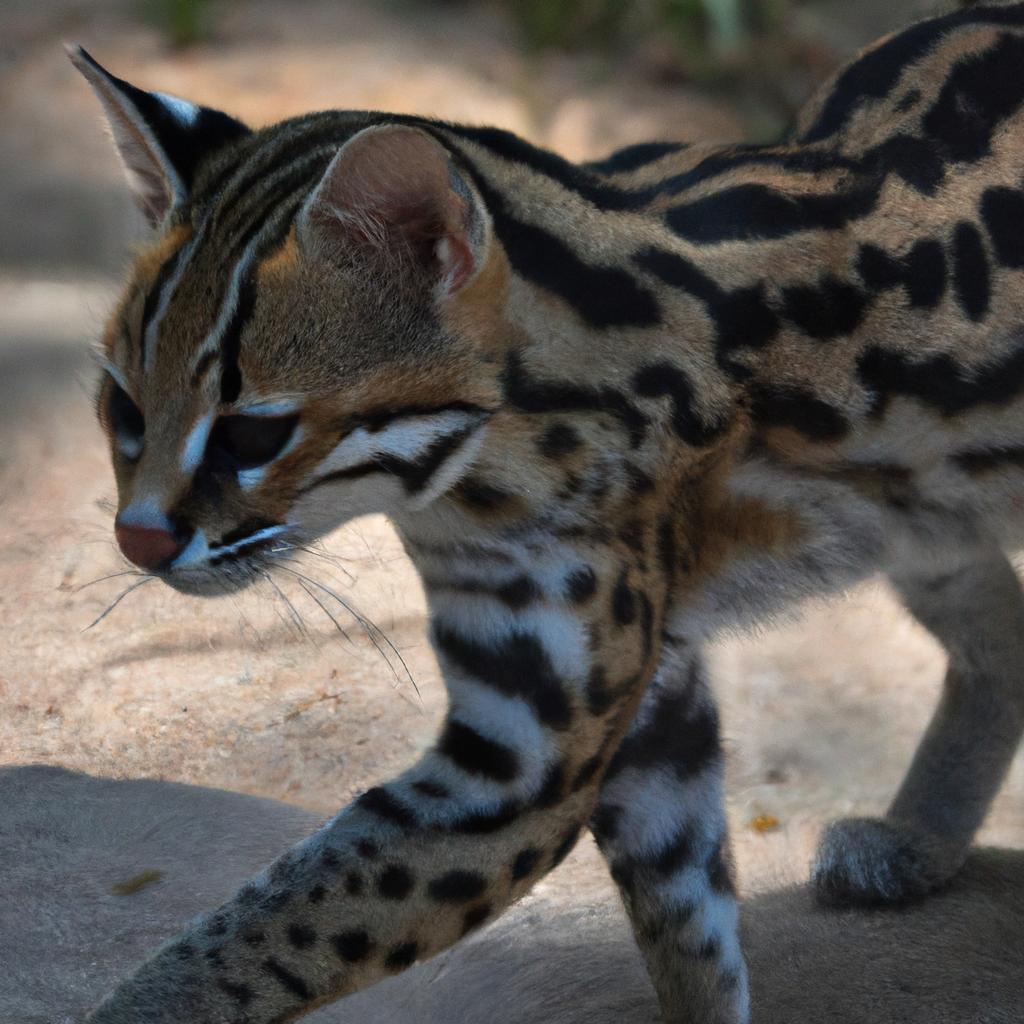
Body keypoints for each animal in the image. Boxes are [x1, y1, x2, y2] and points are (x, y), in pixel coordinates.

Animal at [70, 4, 1024, 1019]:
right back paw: (918, 843)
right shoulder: (650, 708)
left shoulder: (528, 766)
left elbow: (265, 931)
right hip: (926, 517)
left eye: (254, 434)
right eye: (124, 409)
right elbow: (687, 921)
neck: (465, 482)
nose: (138, 540)